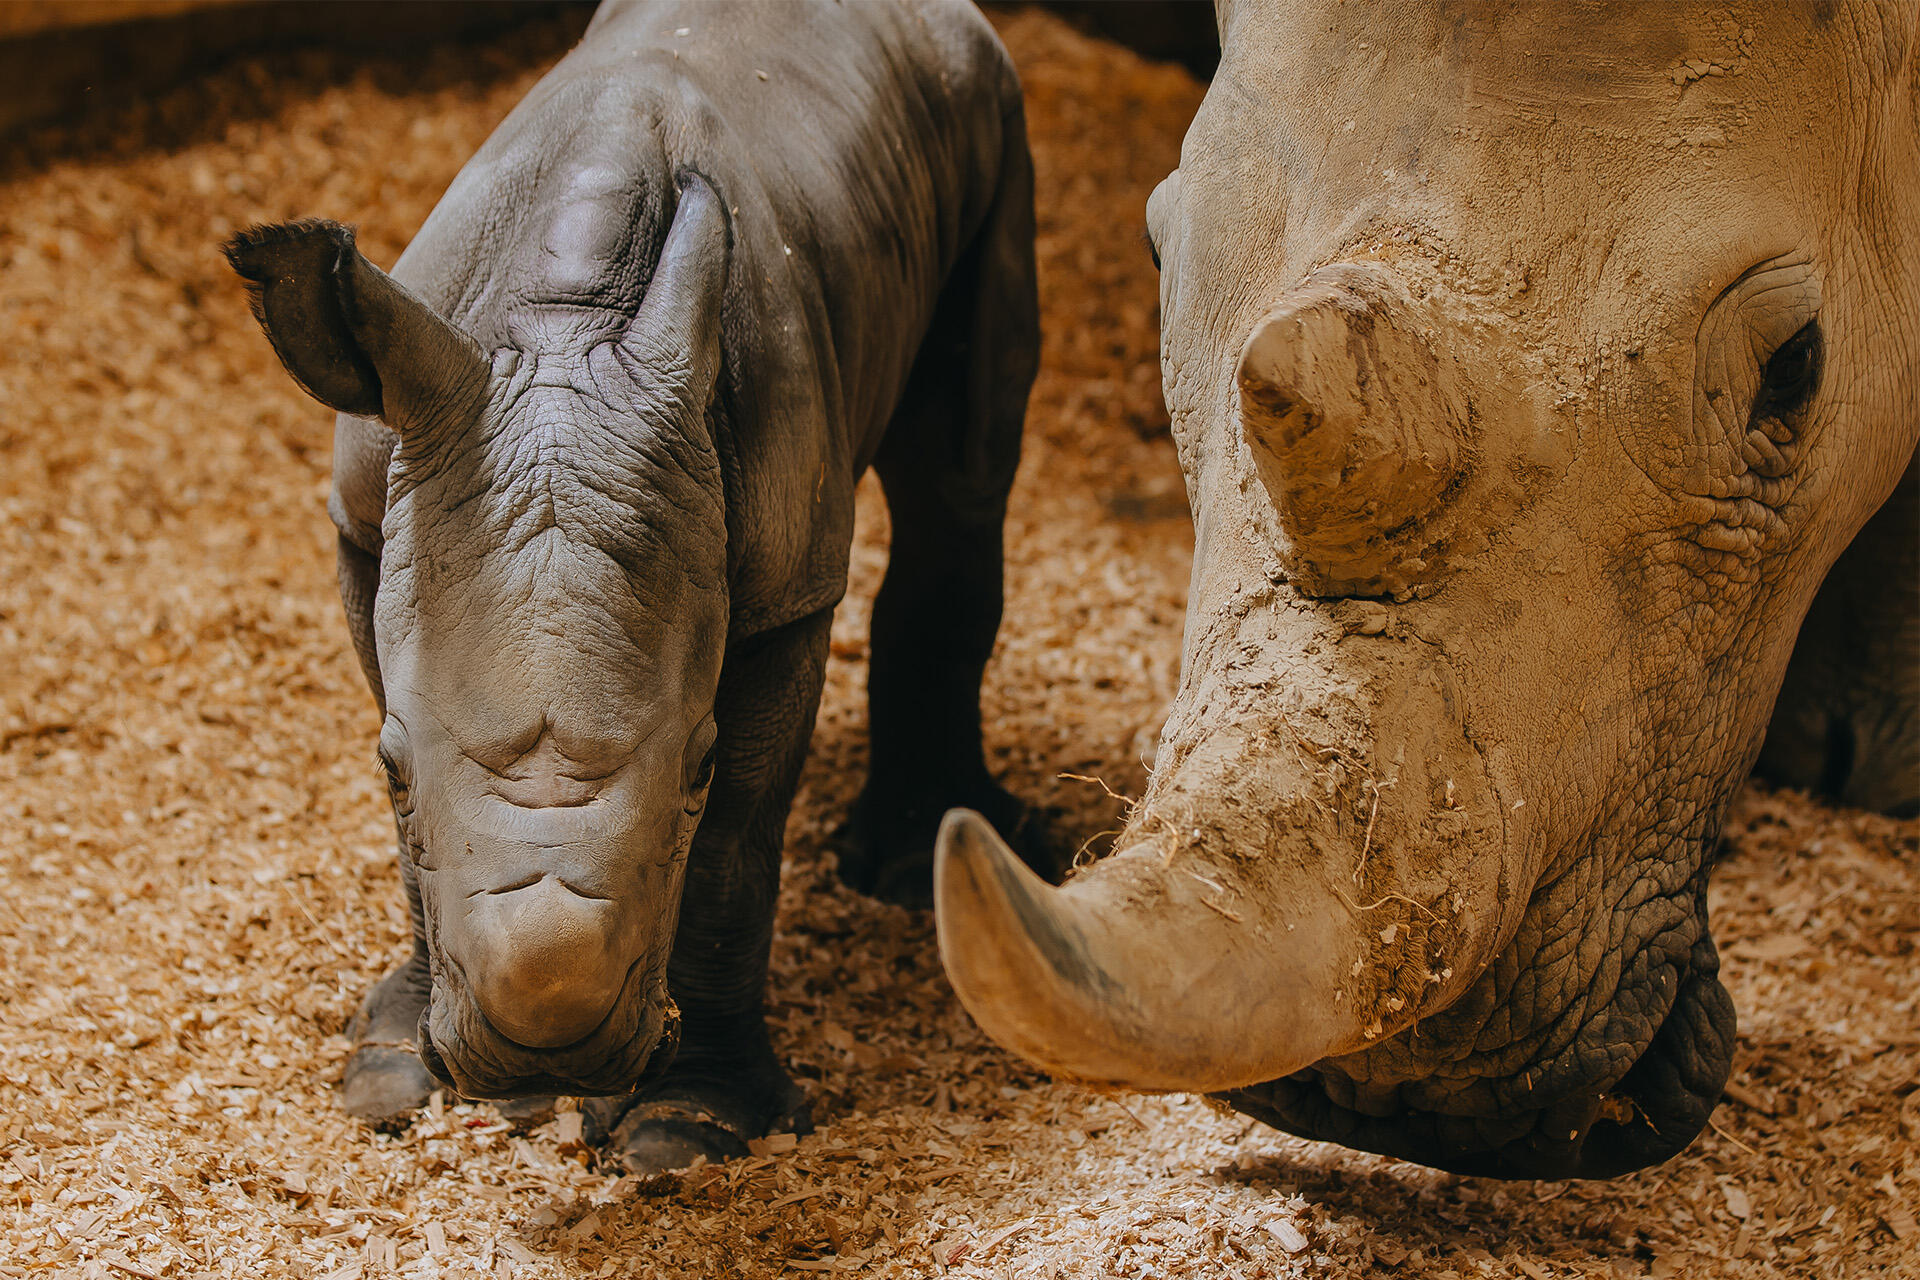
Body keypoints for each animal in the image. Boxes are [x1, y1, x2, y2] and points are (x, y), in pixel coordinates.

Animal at [226, 0, 1044, 1174]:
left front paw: (684, 1129)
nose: (547, 1046)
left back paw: (909, 859)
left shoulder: (786, 585)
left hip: (985, 102)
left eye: (694, 765)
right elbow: (414, 833)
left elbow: (738, 844)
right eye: (389, 768)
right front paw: (392, 1073)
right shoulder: (369, 517)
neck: (563, 329)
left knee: (960, 467)